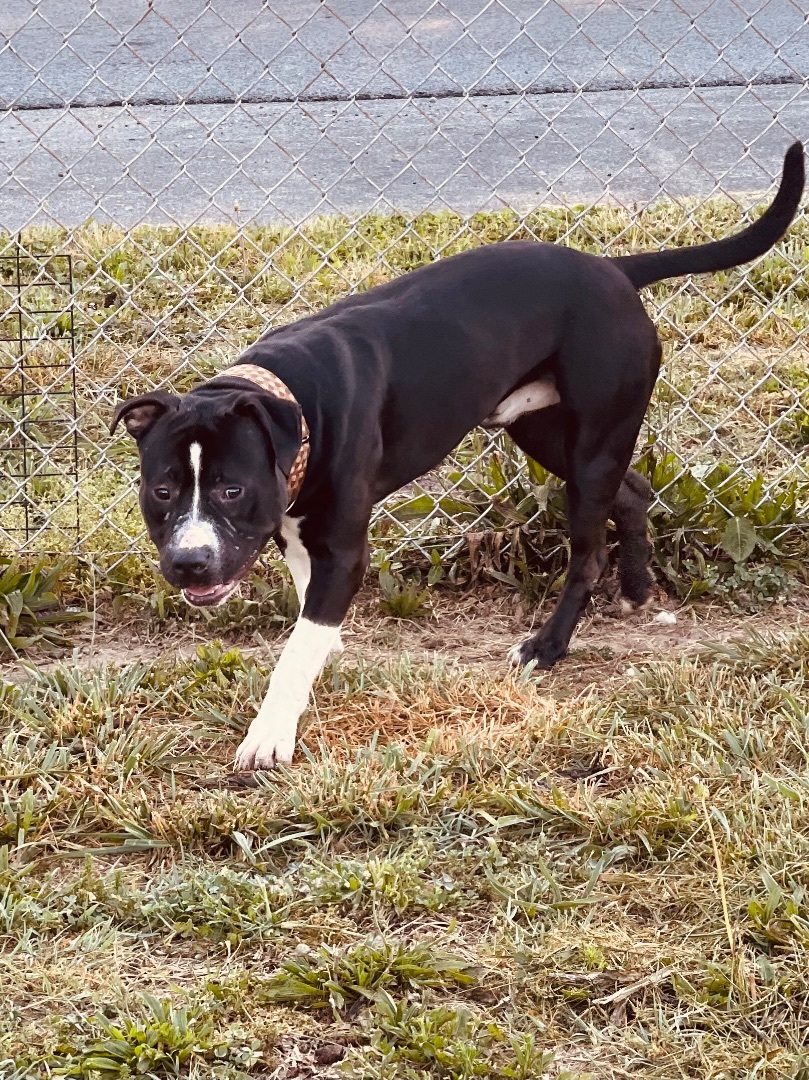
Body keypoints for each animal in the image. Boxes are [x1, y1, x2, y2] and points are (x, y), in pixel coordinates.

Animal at [111, 141, 803, 768]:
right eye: (162, 491)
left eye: (232, 489)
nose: (190, 563)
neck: (293, 400)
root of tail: (612, 270)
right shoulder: (299, 530)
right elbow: (309, 614)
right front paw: (326, 651)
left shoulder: (341, 545)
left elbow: (295, 651)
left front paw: (270, 734)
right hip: (550, 434)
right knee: (632, 491)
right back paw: (635, 589)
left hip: (592, 444)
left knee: (587, 553)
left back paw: (547, 646)